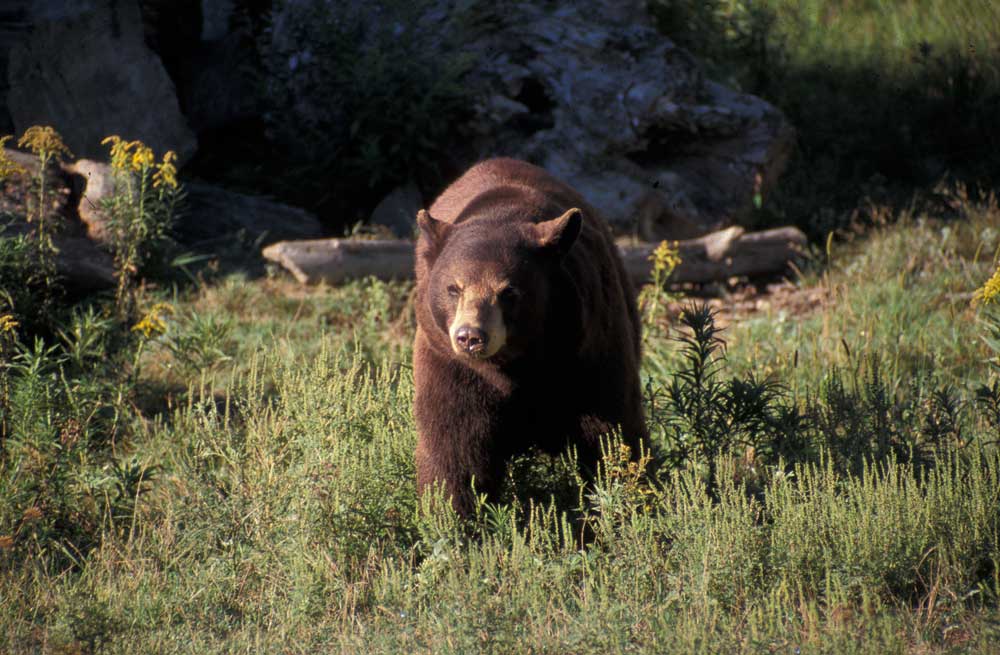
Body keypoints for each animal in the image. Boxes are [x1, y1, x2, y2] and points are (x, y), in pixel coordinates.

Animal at [412, 156, 648, 516]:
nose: (471, 336)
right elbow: (454, 447)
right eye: (453, 288)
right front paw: (450, 517)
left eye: (509, 292)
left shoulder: (590, 351)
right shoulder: (450, 364)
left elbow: (612, 433)